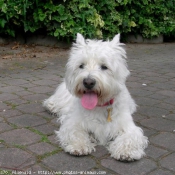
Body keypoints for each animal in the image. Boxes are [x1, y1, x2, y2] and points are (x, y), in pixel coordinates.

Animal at [42, 33, 148, 161]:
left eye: (104, 66)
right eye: (81, 65)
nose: (88, 82)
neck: (99, 106)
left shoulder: (128, 127)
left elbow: (129, 137)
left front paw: (126, 152)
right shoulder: (73, 122)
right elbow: (75, 132)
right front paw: (80, 146)